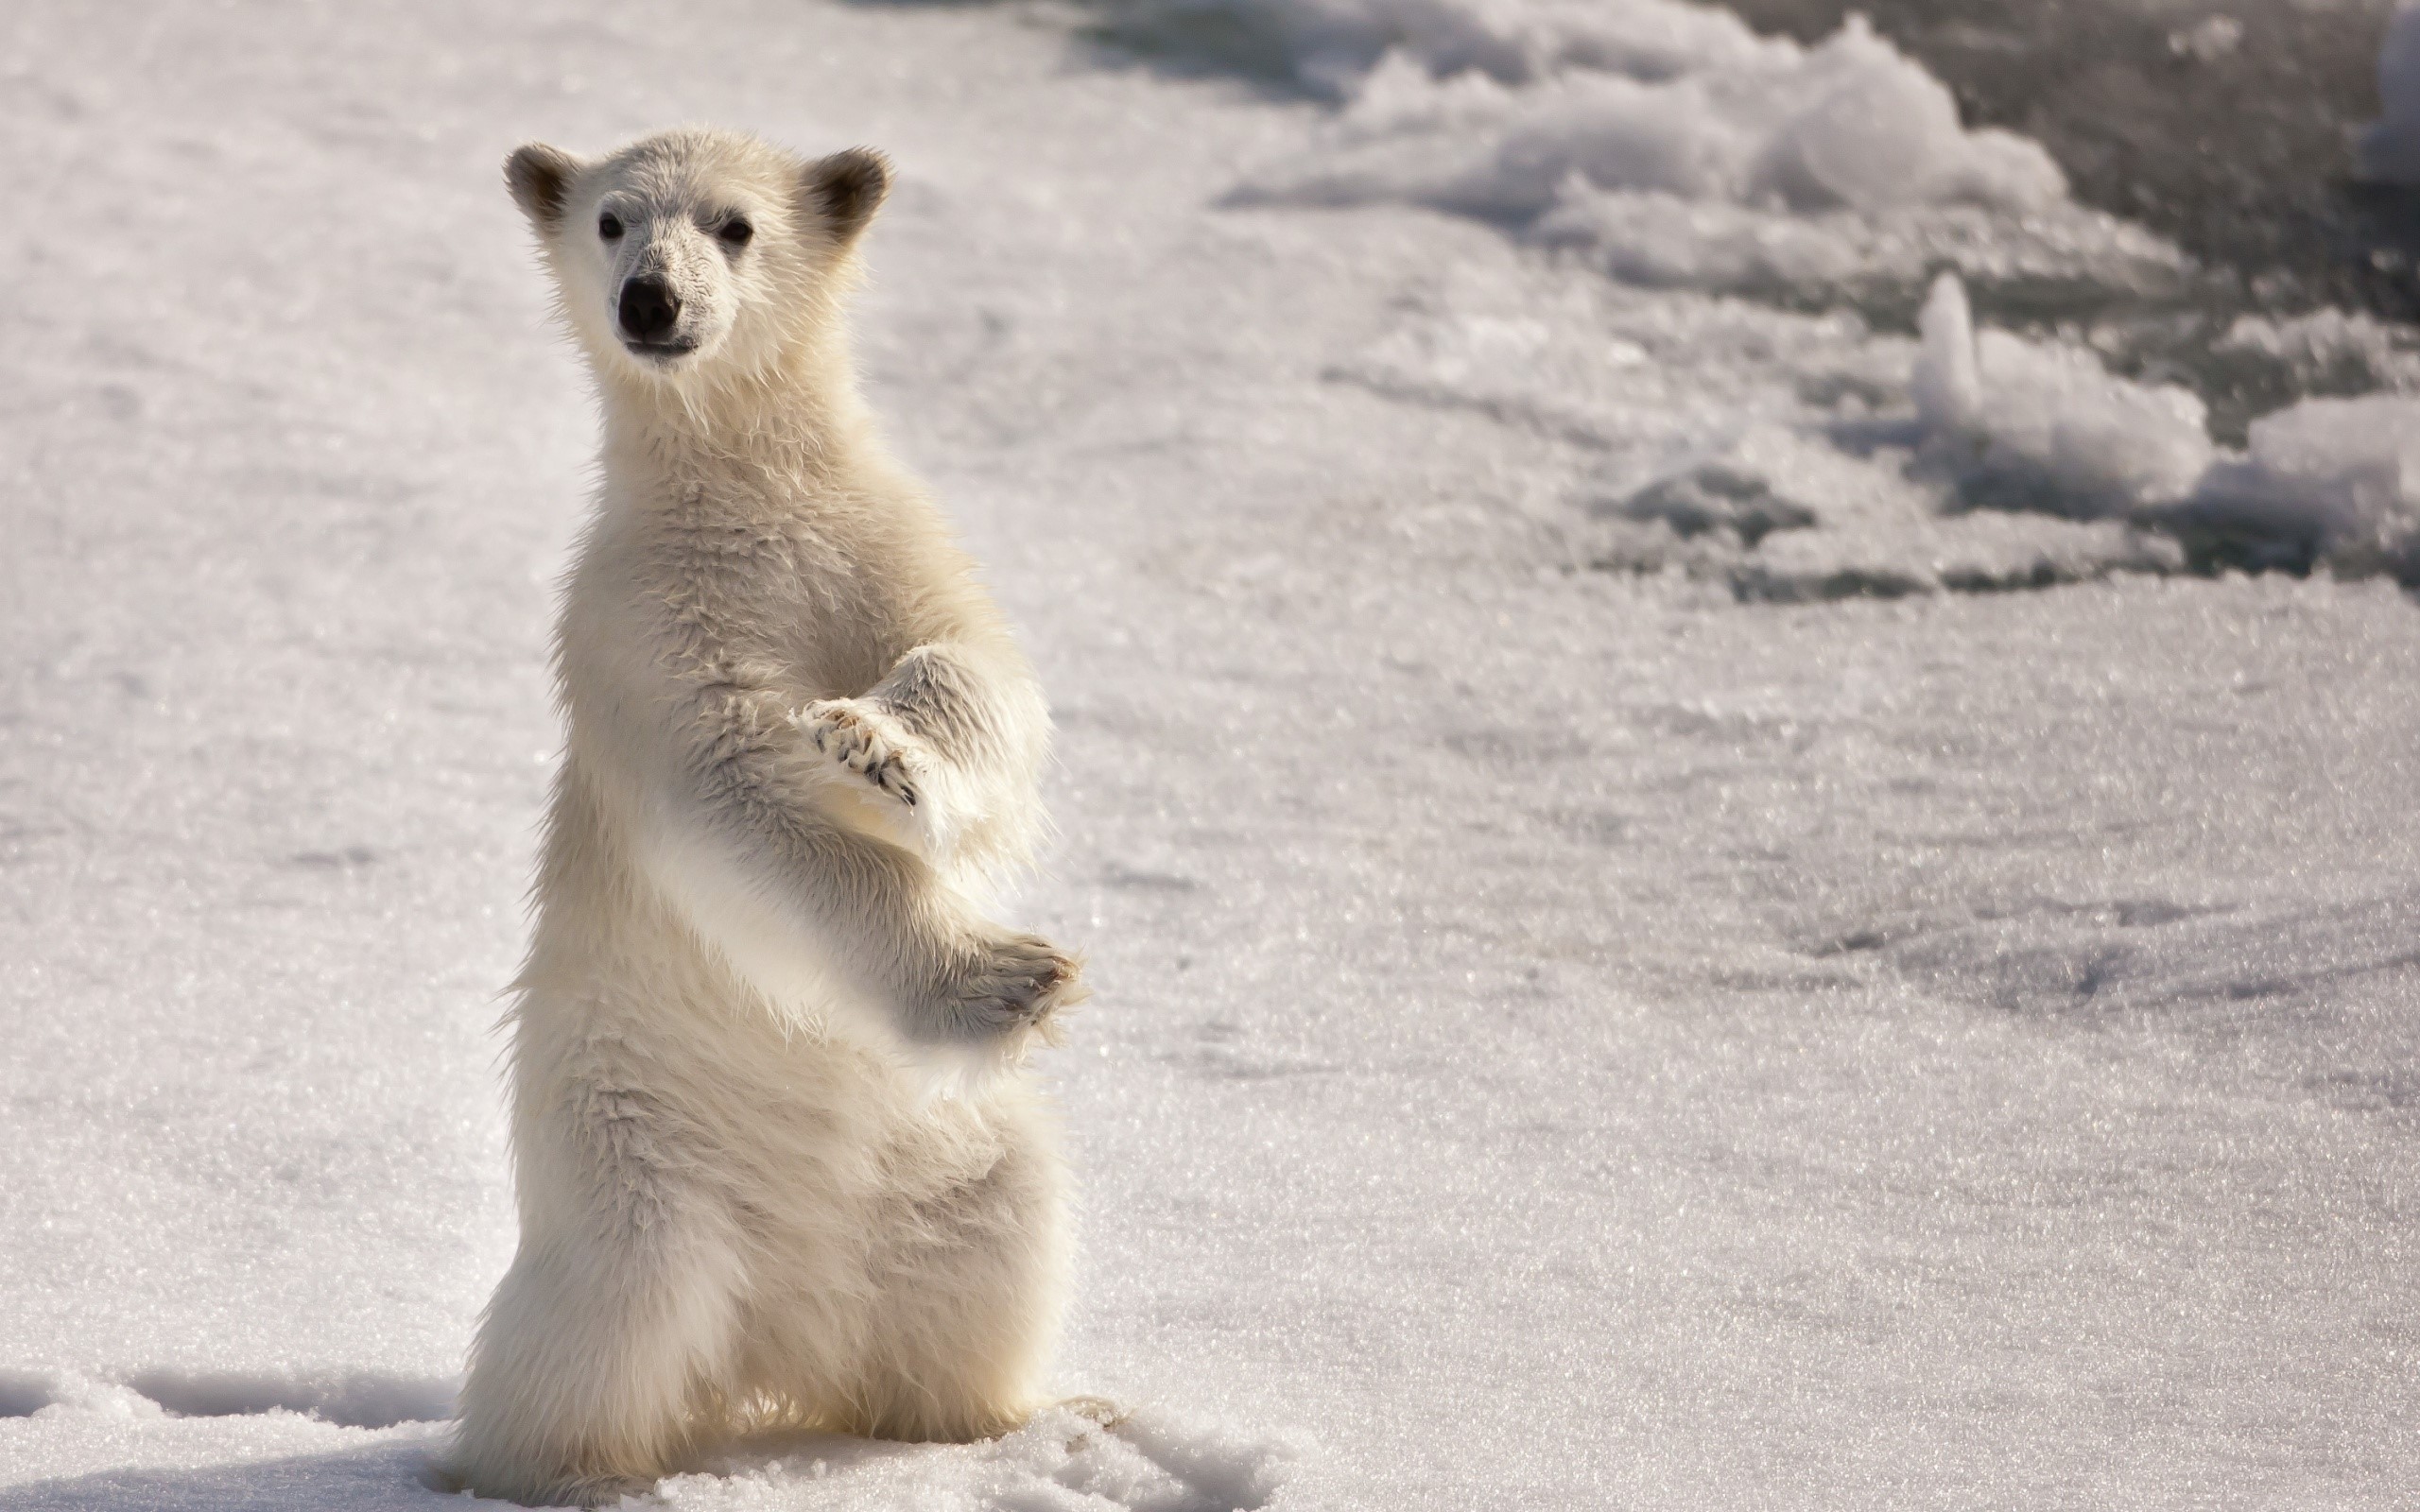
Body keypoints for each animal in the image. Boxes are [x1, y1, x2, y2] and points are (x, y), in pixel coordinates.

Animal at [446, 127, 1087, 1507]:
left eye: (735, 225)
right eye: (612, 221)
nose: (652, 302)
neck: (744, 495)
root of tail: (781, 1338)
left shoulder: (881, 544)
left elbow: (979, 676)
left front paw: (880, 749)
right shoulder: (644, 621)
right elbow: (735, 796)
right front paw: (1006, 977)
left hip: (953, 1161)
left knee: (993, 1258)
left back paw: (1000, 1426)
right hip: (631, 1147)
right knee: (605, 1323)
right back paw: (563, 1470)